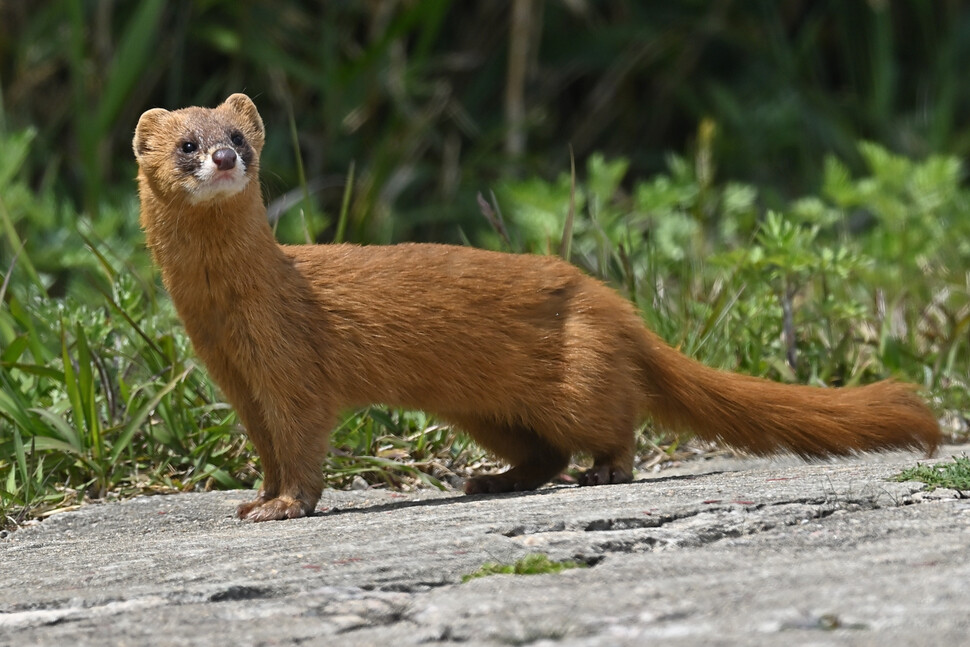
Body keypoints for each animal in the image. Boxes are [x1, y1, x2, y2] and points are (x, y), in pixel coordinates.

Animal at [130, 95, 936, 520]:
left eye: (241, 137)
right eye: (187, 144)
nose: (225, 158)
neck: (226, 313)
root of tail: (616, 305)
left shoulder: (291, 364)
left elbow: (301, 441)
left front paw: (285, 505)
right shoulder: (234, 377)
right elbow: (267, 447)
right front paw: (254, 500)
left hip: (575, 379)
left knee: (612, 421)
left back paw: (605, 471)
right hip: (482, 406)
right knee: (541, 451)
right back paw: (494, 478)